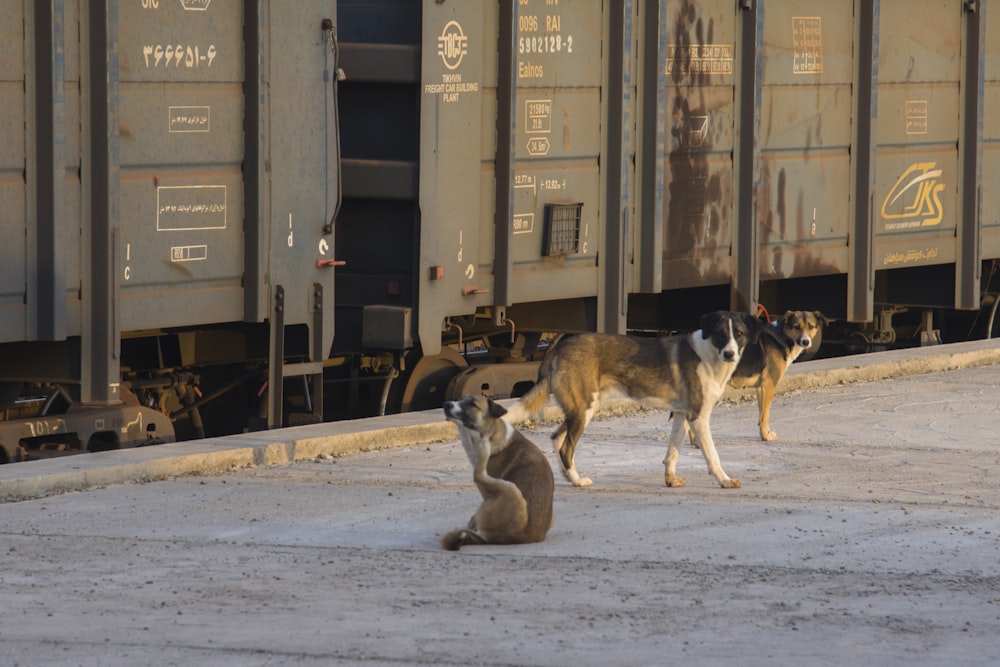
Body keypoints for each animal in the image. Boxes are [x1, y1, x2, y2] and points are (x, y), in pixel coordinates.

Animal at [444, 394, 556, 552]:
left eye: (473, 404)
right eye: (460, 398)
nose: (446, 404)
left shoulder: (487, 492)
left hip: (510, 490)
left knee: (478, 475)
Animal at [504, 312, 760, 490]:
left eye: (738, 334)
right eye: (720, 333)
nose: (730, 354)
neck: (709, 354)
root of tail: (558, 348)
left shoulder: (681, 414)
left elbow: (673, 451)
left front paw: (670, 479)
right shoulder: (698, 416)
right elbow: (712, 455)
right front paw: (725, 480)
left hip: (581, 407)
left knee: (557, 439)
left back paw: (570, 477)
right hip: (583, 408)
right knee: (566, 448)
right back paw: (578, 481)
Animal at [728, 310, 828, 444]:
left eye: (811, 326)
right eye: (796, 327)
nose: (805, 342)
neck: (783, 338)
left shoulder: (760, 388)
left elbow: (762, 414)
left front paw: (765, 433)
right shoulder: (769, 386)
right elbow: (765, 416)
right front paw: (766, 436)